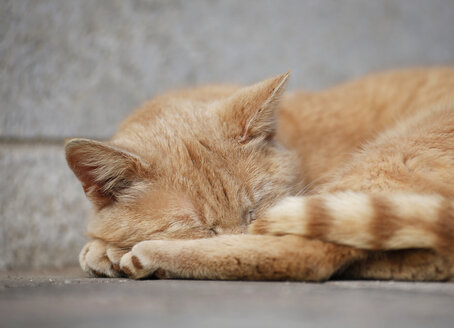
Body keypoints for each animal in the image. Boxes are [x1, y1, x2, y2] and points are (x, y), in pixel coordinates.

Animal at [65, 68, 454, 280]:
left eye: (253, 211)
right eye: (199, 227)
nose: (243, 231)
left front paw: (108, 250)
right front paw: (100, 249)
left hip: (380, 164)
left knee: (309, 255)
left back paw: (150, 255)